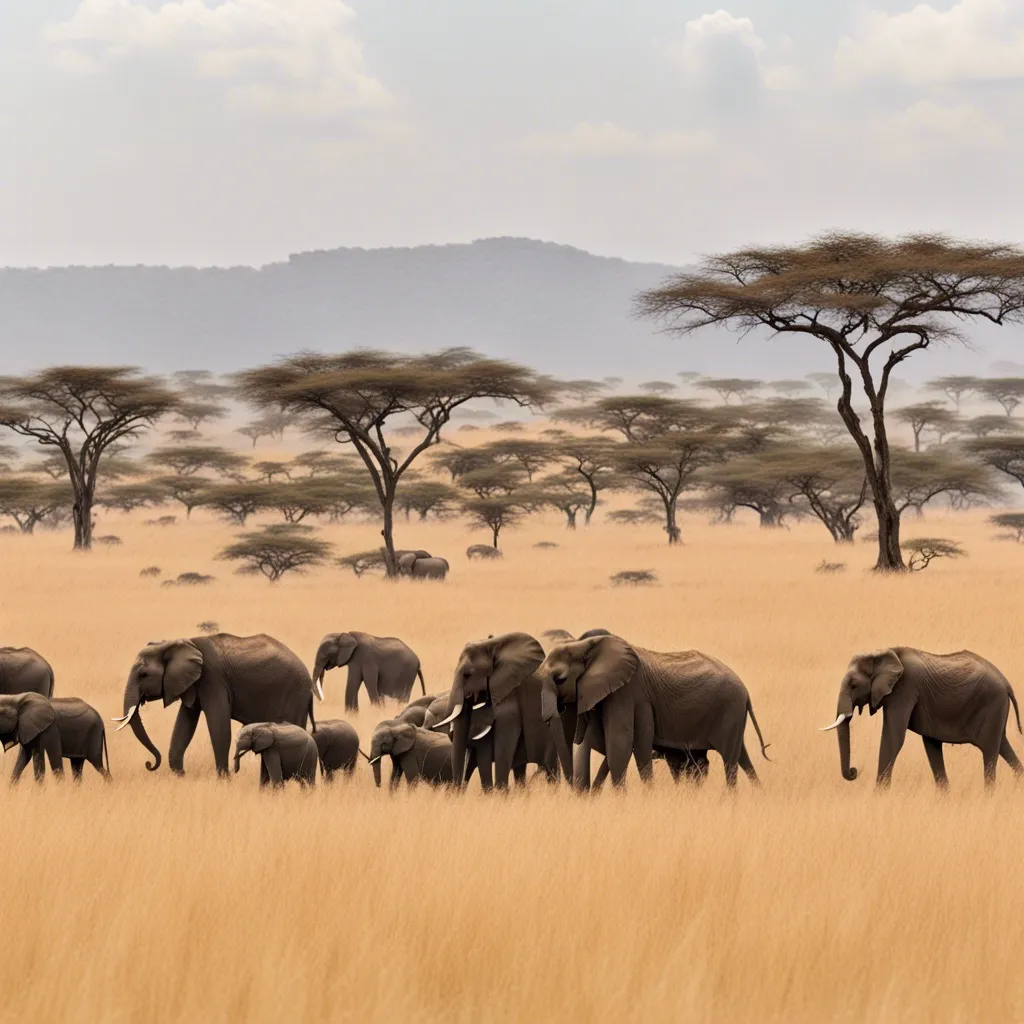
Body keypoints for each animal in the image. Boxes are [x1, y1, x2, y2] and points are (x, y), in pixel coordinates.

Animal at [117, 630, 315, 774]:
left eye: (144, 675)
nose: (149, 764)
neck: (178, 643)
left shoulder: (212, 680)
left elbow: (218, 726)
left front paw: (223, 779)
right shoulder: (192, 684)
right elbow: (184, 725)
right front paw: (180, 776)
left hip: (295, 694)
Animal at [430, 630, 577, 790]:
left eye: (467, 675)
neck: (490, 646)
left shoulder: (509, 702)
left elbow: (503, 746)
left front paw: (500, 793)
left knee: (550, 767)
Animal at [536, 630, 770, 790]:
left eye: (560, 679)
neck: (586, 646)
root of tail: (745, 691)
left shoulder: (626, 693)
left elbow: (620, 744)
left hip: (729, 709)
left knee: (730, 759)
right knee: (741, 757)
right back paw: (758, 793)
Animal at [823, 647, 1024, 790]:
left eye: (854, 685)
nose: (854, 771)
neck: (882, 653)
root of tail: (1006, 683)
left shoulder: (904, 690)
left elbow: (893, 738)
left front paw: (878, 795)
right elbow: (931, 744)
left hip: (991, 704)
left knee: (989, 752)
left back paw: (988, 795)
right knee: (1002, 746)